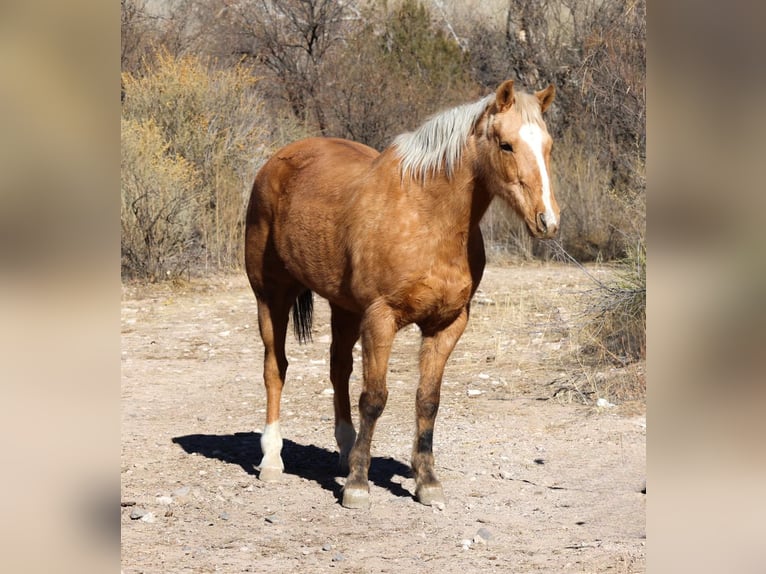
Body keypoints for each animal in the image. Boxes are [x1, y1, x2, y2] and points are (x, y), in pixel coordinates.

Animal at [249, 79, 560, 510]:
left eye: (548, 146)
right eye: (506, 145)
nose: (547, 221)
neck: (429, 217)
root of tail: (275, 162)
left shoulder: (446, 324)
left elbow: (427, 399)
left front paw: (426, 481)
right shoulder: (381, 318)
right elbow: (374, 398)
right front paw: (358, 486)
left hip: (344, 309)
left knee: (338, 369)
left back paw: (344, 452)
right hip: (271, 297)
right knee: (275, 368)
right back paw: (272, 459)